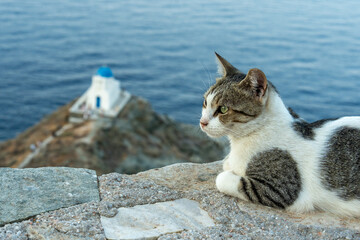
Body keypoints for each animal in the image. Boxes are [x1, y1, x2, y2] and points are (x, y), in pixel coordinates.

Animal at [200, 52, 360, 216]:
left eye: (223, 109)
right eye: (205, 102)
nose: (202, 122)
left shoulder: (283, 190)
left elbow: (222, 178)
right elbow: (226, 163)